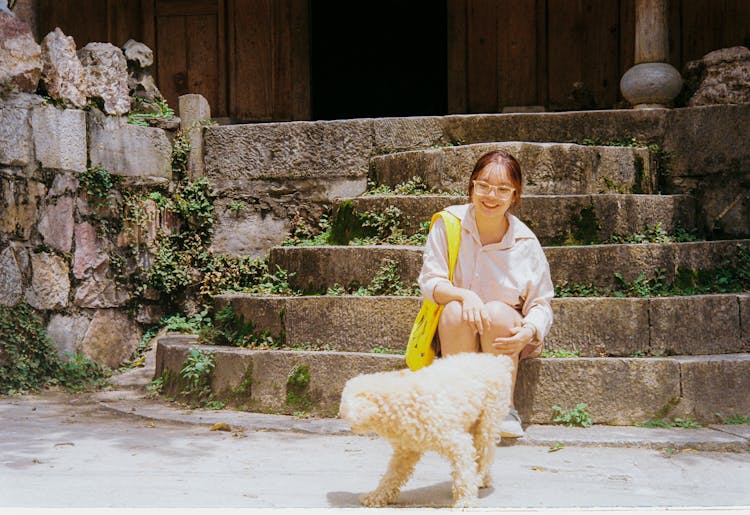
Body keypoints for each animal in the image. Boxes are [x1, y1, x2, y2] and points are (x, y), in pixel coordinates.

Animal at [340, 354, 516, 508]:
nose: (347, 423)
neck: (399, 403)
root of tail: (498, 361)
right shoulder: (406, 450)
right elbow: (392, 475)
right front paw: (377, 496)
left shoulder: (457, 443)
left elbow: (464, 472)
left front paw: (465, 501)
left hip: (487, 422)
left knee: (485, 453)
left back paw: (478, 478)